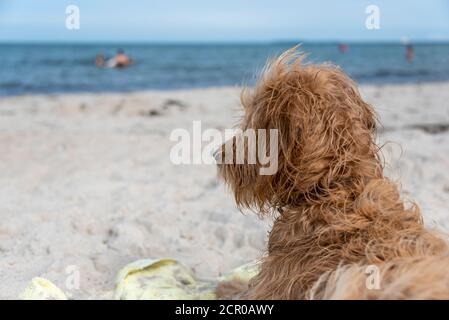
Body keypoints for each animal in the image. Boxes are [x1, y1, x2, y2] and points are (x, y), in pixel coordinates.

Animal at [214, 47, 448, 300]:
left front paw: (227, 284)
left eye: (251, 120)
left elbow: (241, 290)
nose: (217, 156)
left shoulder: (272, 287)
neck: (335, 186)